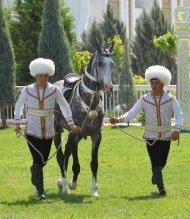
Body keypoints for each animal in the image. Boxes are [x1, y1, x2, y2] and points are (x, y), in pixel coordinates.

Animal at [53, 41, 114, 197]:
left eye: (112, 63)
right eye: (100, 63)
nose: (108, 87)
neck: (89, 102)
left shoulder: (96, 135)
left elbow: (94, 163)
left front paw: (94, 191)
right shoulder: (75, 133)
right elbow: (76, 164)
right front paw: (72, 184)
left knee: (66, 153)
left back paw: (62, 181)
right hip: (57, 130)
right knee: (61, 156)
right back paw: (64, 185)